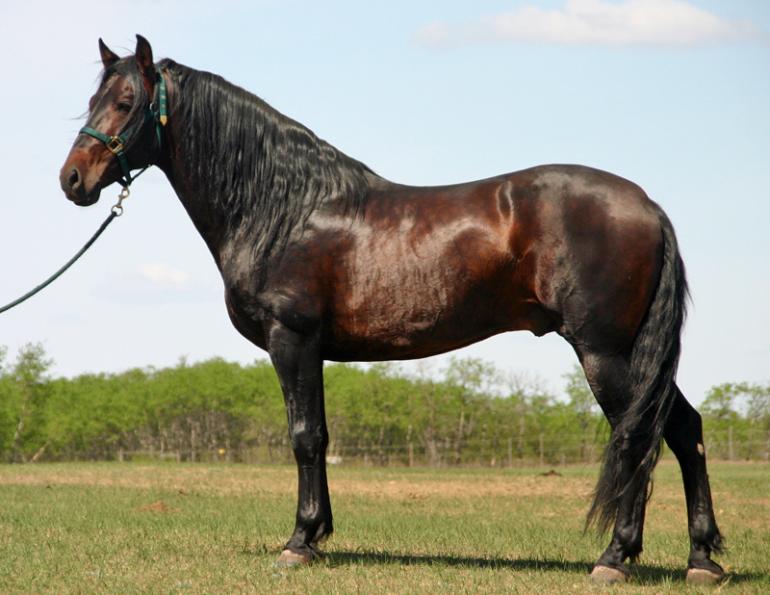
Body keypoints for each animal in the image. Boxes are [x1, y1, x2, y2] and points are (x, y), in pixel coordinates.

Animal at [59, 35, 724, 584]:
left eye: (125, 101)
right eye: (92, 98)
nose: (72, 180)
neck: (284, 208)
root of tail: (647, 205)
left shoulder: (291, 338)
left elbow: (304, 436)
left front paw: (298, 542)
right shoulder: (312, 349)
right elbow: (320, 434)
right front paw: (318, 535)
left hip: (603, 350)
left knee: (637, 435)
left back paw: (614, 557)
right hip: (632, 354)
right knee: (682, 430)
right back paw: (702, 559)